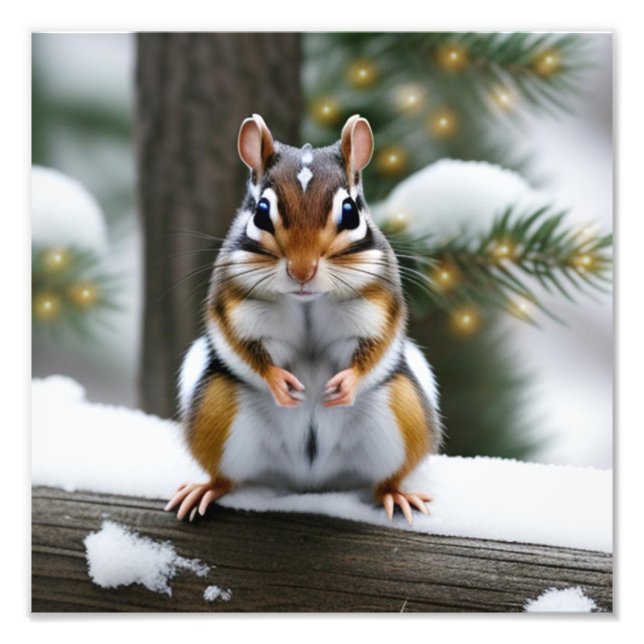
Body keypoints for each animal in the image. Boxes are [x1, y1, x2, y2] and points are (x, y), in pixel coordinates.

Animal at [165, 113, 442, 524]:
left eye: (351, 211)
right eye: (261, 212)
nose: (302, 270)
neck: (306, 300)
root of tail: (309, 481)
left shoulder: (379, 302)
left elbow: (376, 344)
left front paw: (346, 382)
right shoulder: (233, 302)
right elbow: (242, 344)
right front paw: (278, 381)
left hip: (401, 415)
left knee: (386, 478)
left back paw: (396, 495)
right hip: (217, 412)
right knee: (226, 477)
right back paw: (206, 489)